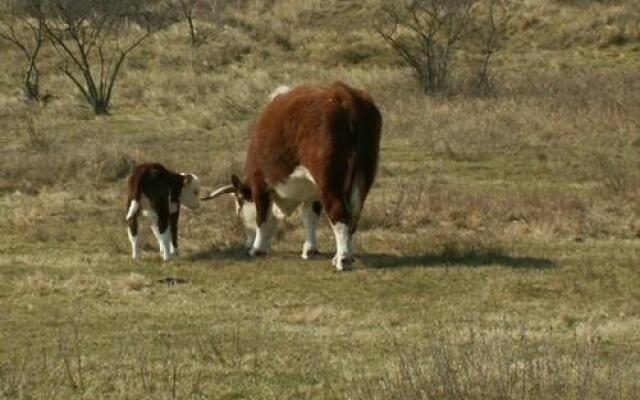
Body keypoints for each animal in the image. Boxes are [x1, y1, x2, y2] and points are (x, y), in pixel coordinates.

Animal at [204, 80, 380, 272]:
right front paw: (310, 249)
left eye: (239, 207)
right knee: (353, 217)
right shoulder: (312, 191)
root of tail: (343, 94)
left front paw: (257, 248)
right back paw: (343, 255)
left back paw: (343, 259)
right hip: (364, 176)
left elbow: (261, 217)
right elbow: (309, 217)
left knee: (339, 212)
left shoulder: (260, 183)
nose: (246, 243)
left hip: (329, 182)